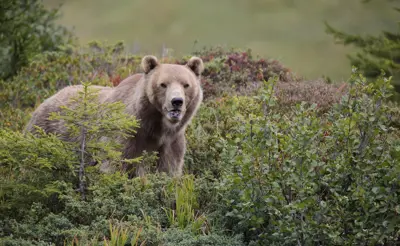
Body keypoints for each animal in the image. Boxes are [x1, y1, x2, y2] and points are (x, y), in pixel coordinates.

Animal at [25, 55, 203, 177]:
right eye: (163, 84)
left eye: (186, 84)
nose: (177, 101)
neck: (155, 127)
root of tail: (45, 100)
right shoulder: (124, 136)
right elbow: (114, 165)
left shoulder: (171, 142)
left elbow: (169, 169)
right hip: (45, 134)